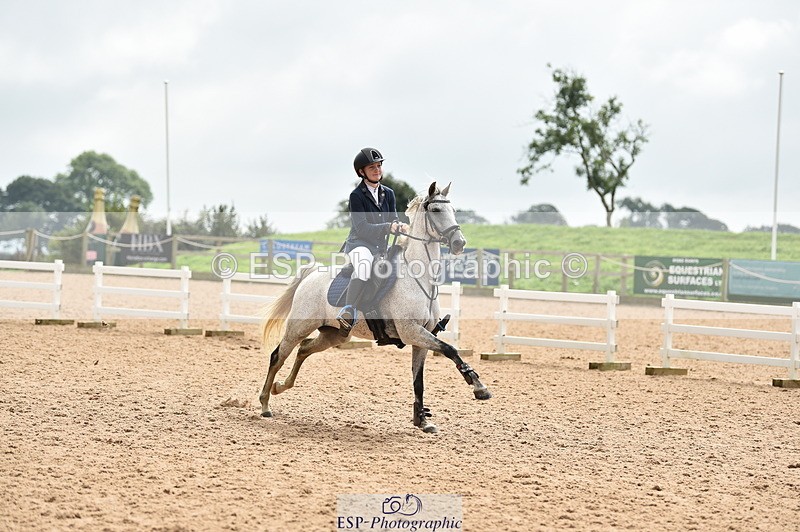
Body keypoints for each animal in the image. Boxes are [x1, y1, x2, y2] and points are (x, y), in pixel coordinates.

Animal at [259, 182, 492, 433]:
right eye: (436, 210)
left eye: (454, 211)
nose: (459, 243)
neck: (418, 277)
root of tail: (311, 275)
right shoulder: (412, 332)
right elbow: (451, 350)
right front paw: (478, 386)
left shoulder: (421, 338)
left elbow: (418, 381)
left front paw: (422, 420)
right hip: (299, 326)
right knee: (278, 356)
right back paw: (265, 404)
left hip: (334, 335)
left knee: (304, 349)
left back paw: (281, 387)